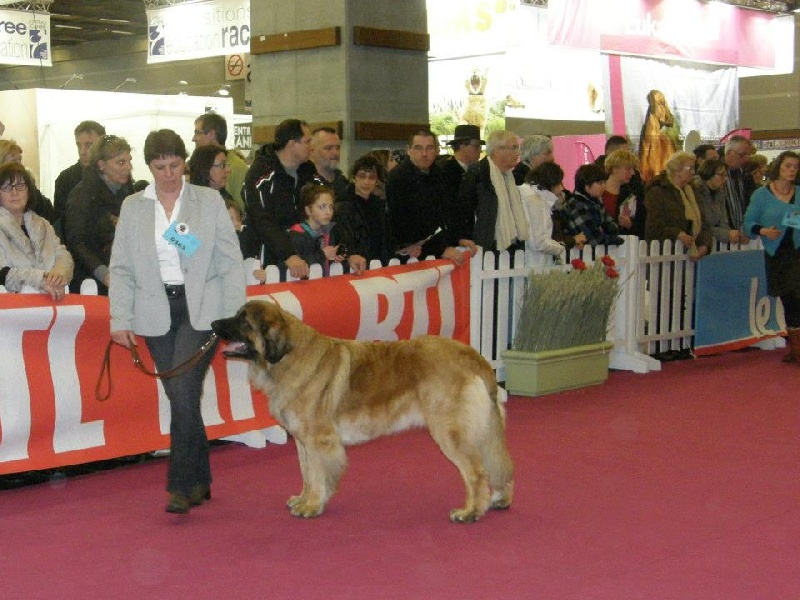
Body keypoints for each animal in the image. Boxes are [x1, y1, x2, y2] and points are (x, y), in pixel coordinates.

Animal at [211, 302, 512, 524]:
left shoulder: (319, 439)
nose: (213, 325)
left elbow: (318, 475)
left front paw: (312, 506)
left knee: (476, 472)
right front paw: (304, 499)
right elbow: (307, 473)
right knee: (495, 463)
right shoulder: (302, 441)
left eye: (243, 320)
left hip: (449, 430)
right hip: (483, 429)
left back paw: (471, 512)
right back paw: (499, 500)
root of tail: (471, 354)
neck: (287, 357)